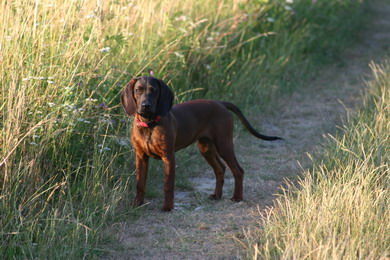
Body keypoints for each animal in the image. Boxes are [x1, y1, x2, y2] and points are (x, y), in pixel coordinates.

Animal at [120, 75, 282, 211]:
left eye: (154, 91)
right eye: (138, 90)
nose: (145, 105)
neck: (149, 124)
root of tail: (220, 103)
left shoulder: (169, 157)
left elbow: (168, 185)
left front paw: (167, 207)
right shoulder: (141, 156)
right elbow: (140, 183)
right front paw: (137, 203)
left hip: (224, 144)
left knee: (238, 170)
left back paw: (237, 197)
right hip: (206, 147)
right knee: (220, 169)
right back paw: (217, 195)